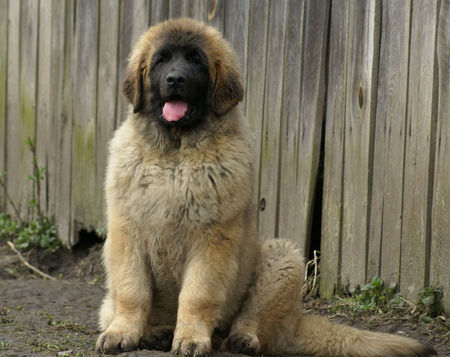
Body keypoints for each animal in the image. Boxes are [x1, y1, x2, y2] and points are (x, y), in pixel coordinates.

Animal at [96, 18, 436, 354]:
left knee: (249, 320)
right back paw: (157, 333)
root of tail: (295, 321)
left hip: (282, 259)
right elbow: (132, 291)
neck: (176, 153)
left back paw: (240, 338)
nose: (175, 79)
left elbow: (197, 295)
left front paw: (191, 337)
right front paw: (123, 332)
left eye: (196, 60)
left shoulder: (212, 240)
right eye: (162, 60)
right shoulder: (127, 234)